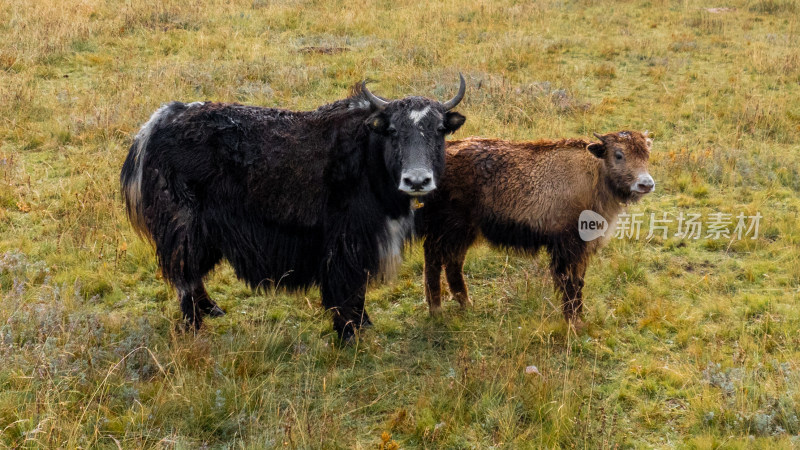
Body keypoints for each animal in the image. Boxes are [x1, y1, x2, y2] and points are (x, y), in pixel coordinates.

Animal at [416, 130, 652, 324]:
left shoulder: (583, 249)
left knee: (452, 263)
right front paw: (573, 322)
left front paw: (579, 317)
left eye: (646, 154)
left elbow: (579, 281)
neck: (594, 174)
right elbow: (570, 283)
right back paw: (436, 310)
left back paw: (466, 305)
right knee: (434, 259)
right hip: (449, 228)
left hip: (464, 232)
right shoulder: (567, 247)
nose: (646, 184)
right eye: (619, 154)